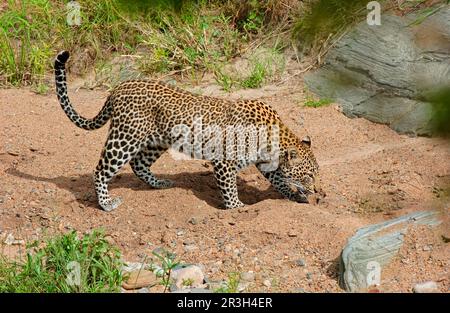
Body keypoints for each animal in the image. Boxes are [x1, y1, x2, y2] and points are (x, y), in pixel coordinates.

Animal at [54, 51, 322, 211]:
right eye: (309, 175)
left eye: (316, 174)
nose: (318, 191)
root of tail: (117, 88)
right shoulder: (224, 162)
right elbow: (230, 190)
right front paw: (238, 208)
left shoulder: (266, 164)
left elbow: (279, 180)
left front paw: (295, 196)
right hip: (125, 138)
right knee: (101, 170)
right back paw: (106, 203)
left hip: (156, 141)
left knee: (139, 164)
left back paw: (161, 184)